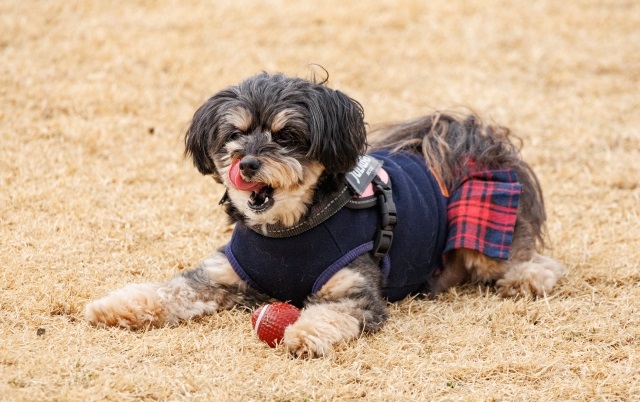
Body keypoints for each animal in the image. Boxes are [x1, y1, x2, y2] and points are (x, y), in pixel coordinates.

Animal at [84, 72, 564, 358]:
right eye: (235, 134)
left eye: (286, 137)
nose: (247, 164)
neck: (286, 231)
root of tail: (472, 137)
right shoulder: (217, 276)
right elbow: (169, 291)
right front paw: (116, 306)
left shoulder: (353, 292)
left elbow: (332, 314)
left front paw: (302, 333)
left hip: (484, 232)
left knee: (532, 260)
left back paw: (526, 279)